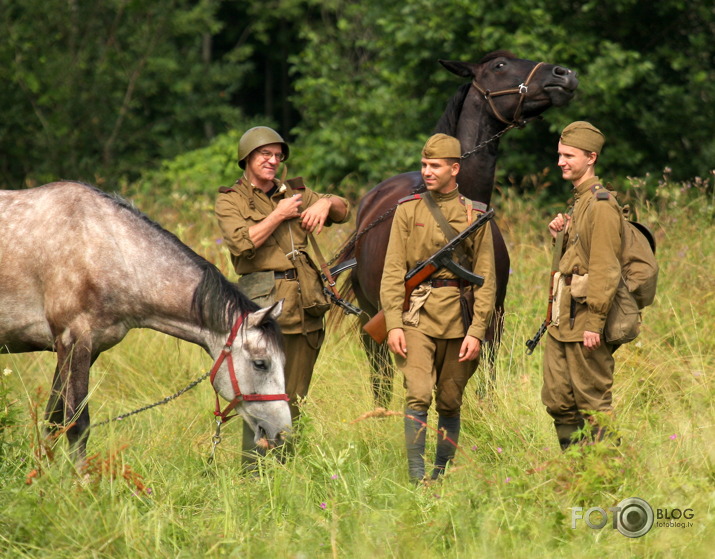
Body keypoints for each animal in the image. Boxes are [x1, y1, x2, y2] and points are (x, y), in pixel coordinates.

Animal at [0, 182, 292, 462]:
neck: (104, 248)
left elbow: (53, 420)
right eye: (260, 364)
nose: (283, 433)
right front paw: (79, 478)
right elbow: (77, 424)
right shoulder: (73, 343)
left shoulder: (84, 350)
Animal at [332, 51, 580, 406]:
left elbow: (483, 380)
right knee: (380, 374)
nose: (564, 74)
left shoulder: (492, 318)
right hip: (369, 315)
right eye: (499, 66)